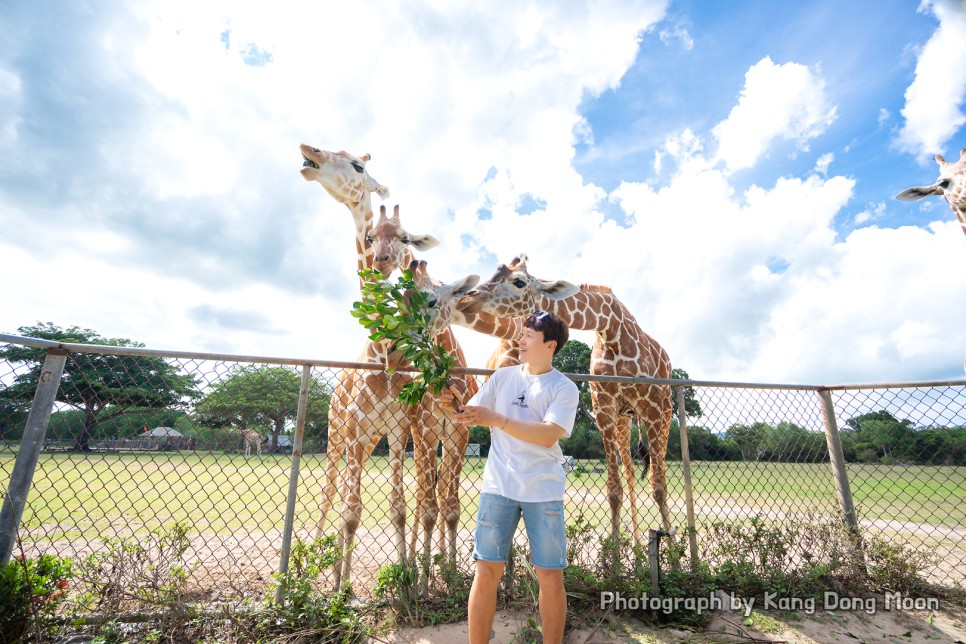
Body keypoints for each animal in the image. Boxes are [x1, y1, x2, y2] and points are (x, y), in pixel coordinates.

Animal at [460, 256, 672, 548]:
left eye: (519, 282)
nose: (467, 297)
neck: (612, 330)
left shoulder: (650, 404)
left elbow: (658, 485)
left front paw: (673, 553)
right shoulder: (604, 406)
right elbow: (613, 489)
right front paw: (615, 554)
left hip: (664, 410)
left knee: (657, 470)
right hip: (625, 417)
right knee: (629, 471)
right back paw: (637, 545)